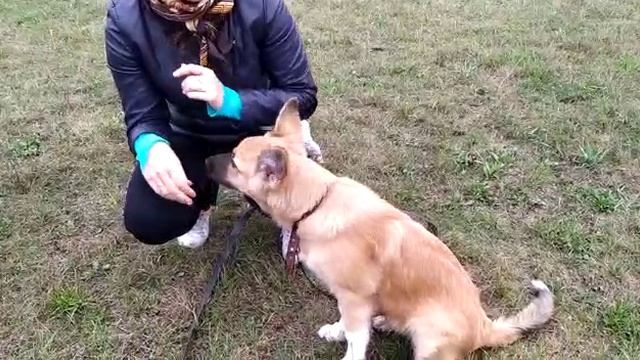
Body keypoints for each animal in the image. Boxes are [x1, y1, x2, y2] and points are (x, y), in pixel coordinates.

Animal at [208, 99, 552, 360]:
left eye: (235, 162)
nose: (204, 160)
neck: (317, 202)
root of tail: (484, 326)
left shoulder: (355, 297)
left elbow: (356, 339)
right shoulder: (351, 299)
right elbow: (349, 325)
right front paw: (336, 330)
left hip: (429, 337)